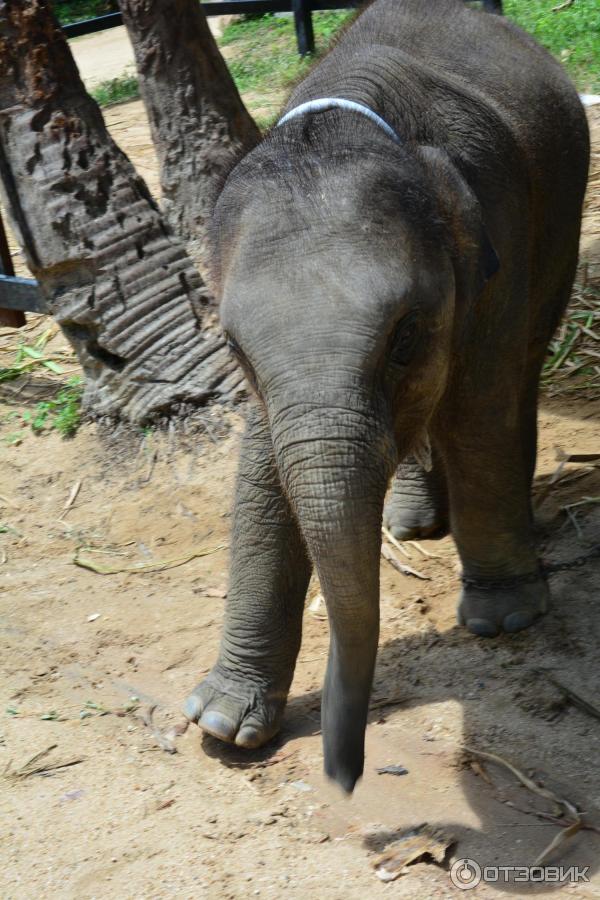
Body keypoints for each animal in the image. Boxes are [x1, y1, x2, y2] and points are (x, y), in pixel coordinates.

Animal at [185, 0, 588, 788]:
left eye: (405, 336)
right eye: (235, 351)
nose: (346, 770)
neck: (355, 115)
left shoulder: (498, 232)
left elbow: (480, 410)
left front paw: (504, 618)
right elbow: (261, 470)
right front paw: (221, 724)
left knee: (519, 372)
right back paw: (410, 524)